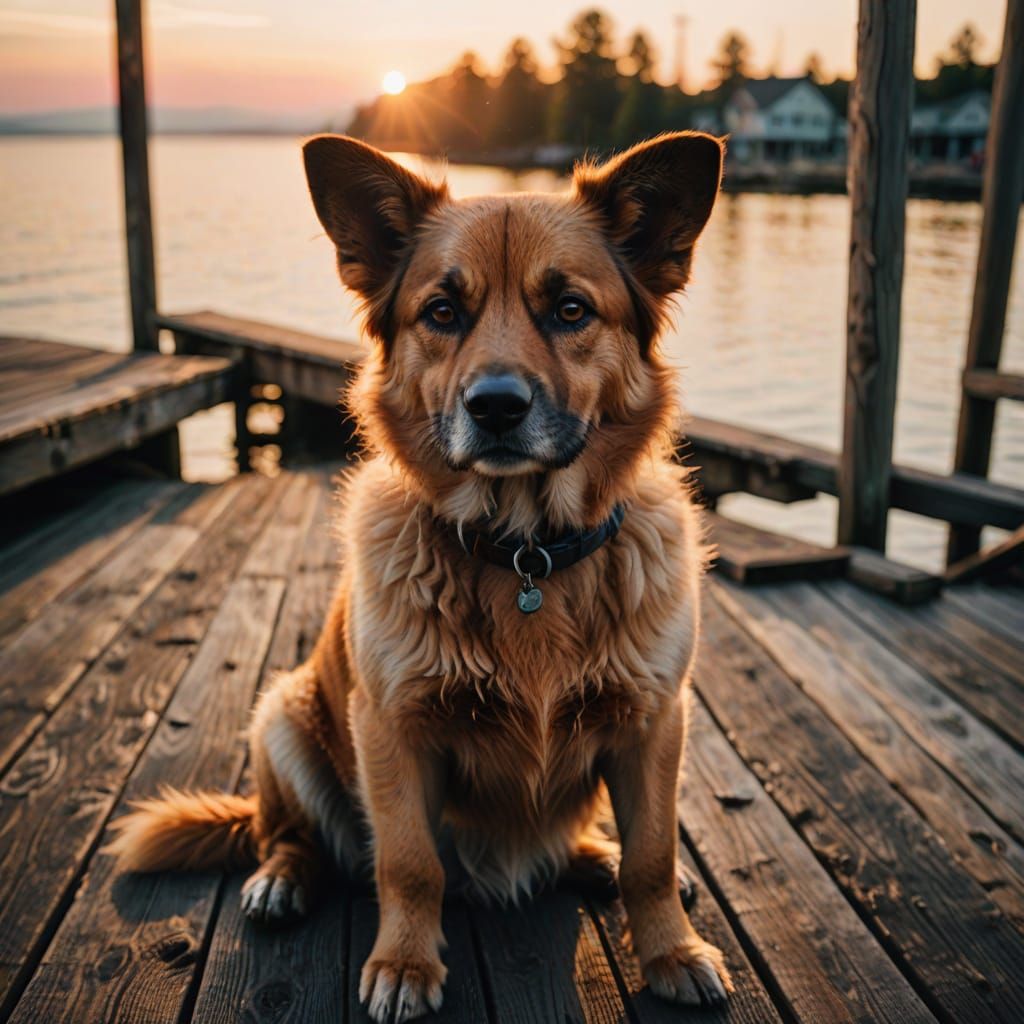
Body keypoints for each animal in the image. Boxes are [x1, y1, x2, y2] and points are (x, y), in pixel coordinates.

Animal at [110, 132, 729, 1019]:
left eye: (570, 309)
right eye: (442, 312)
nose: (496, 405)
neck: (524, 550)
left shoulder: (653, 724)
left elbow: (655, 855)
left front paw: (672, 950)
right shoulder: (392, 730)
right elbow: (407, 862)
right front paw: (405, 964)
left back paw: (590, 853)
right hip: (284, 715)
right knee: (287, 834)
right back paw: (280, 880)